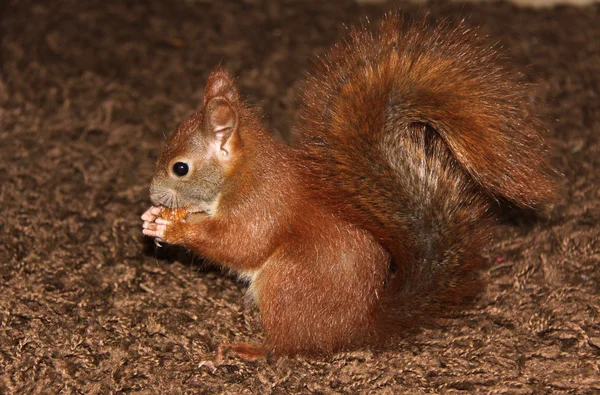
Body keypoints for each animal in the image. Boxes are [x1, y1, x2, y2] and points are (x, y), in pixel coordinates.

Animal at [142, 15, 556, 358]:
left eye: (180, 168)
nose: (152, 194)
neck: (241, 174)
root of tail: (356, 328)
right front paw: (155, 216)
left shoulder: (259, 206)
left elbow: (239, 243)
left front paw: (173, 227)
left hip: (287, 282)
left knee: (290, 346)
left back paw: (250, 350)